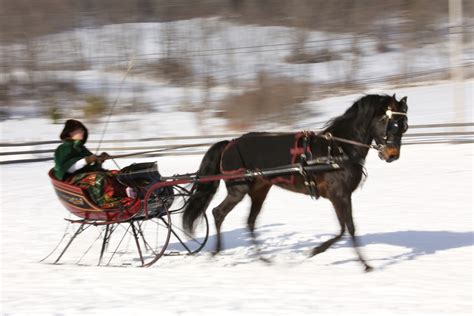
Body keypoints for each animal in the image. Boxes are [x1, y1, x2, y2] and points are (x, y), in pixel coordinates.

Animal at [181, 94, 408, 272]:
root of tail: (230, 143)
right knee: (218, 213)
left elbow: (346, 228)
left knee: (250, 222)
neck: (339, 149)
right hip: (239, 189)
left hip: (260, 191)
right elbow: (347, 228)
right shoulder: (339, 195)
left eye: (404, 126)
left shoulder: (342, 196)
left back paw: (263, 259)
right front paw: (355, 261)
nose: (392, 155)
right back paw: (216, 252)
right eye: (392, 123)